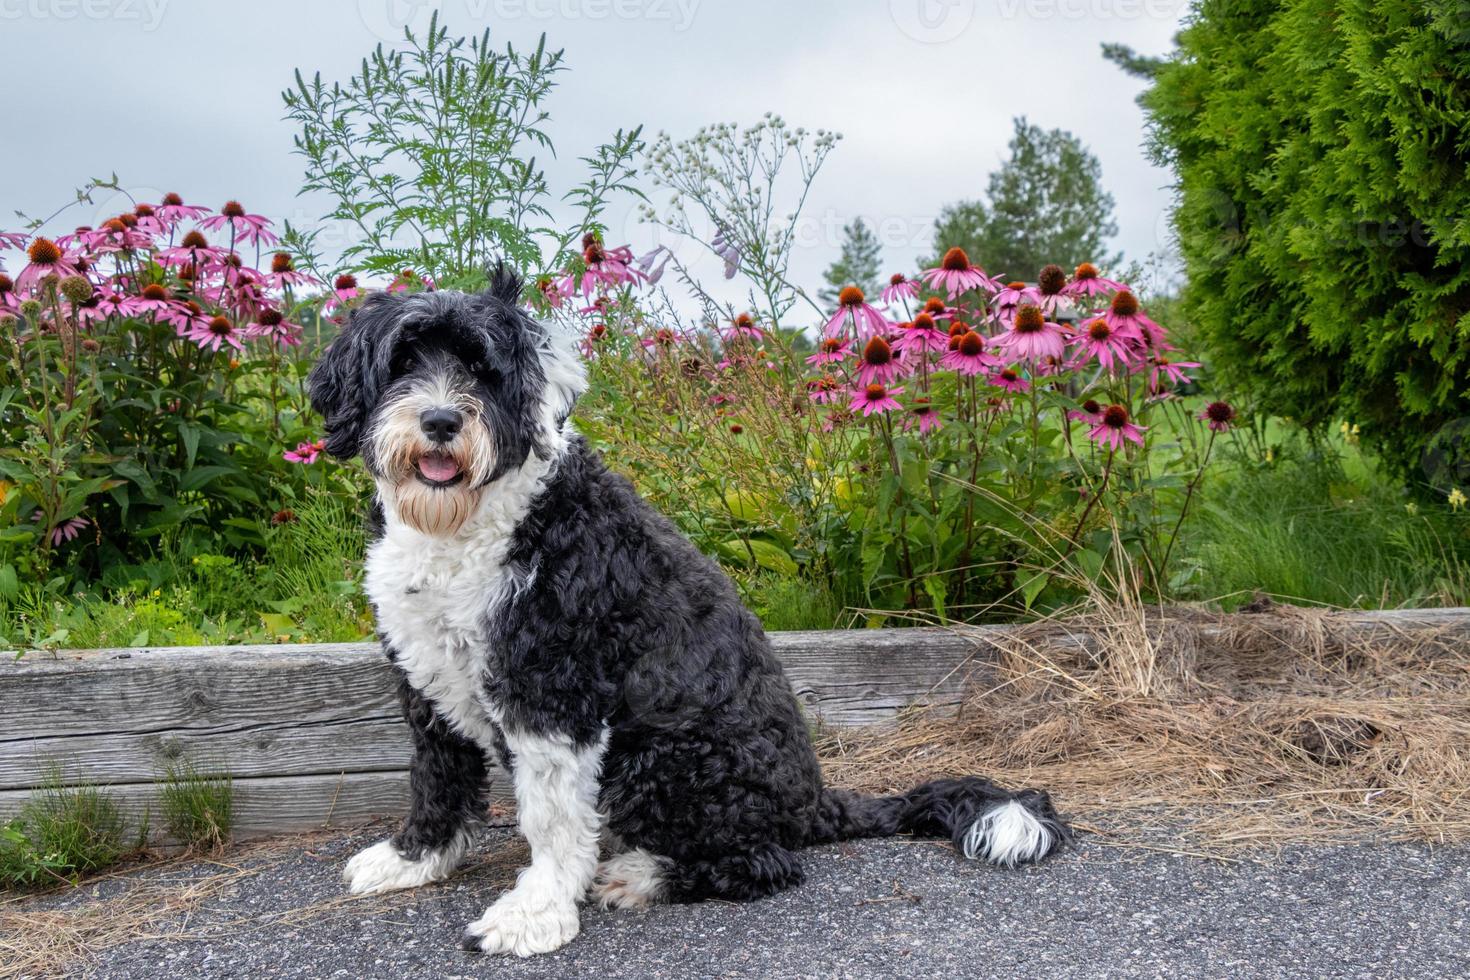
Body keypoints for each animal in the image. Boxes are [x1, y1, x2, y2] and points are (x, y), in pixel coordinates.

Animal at [310, 265, 1070, 957]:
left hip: (664, 756)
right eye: (404, 361)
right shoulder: (426, 676)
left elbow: (553, 819)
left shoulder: (553, 692)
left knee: (763, 863)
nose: (440, 420)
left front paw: (535, 912)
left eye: (481, 368)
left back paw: (641, 874)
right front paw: (414, 859)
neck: (470, 525)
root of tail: (814, 801)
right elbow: (436, 775)